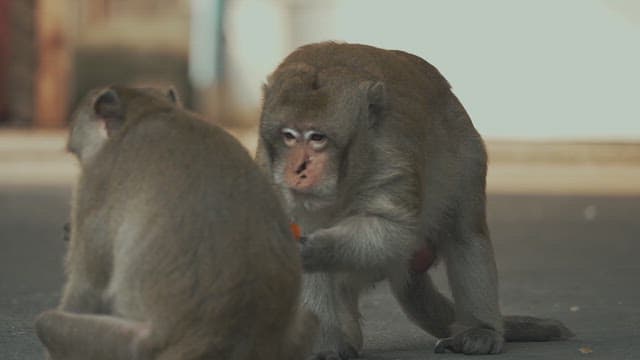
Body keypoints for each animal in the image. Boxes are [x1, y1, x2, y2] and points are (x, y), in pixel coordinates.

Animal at [256, 41, 576, 358]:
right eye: (289, 136)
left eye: (317, 138)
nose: (298, 170)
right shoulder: (270, 177)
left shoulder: (390, 158)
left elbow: (399, 232)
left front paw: (316, 247)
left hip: (466, 149)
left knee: (465, 234)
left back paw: (480, 329)